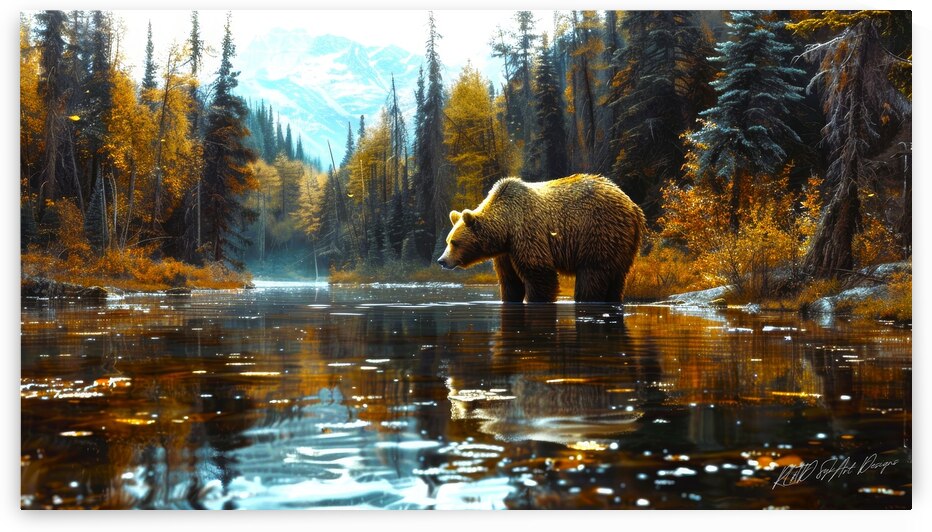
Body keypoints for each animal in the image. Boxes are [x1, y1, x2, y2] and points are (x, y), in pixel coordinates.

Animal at [437, 174, 646, 303]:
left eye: (455, 242)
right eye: (448, 241)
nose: (442, 260)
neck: (505, 227)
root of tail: (633, 206)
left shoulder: (527, 233)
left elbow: (539, 273)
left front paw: (536, 298)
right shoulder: (507, 252)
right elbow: (510, 281)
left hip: (598, 231)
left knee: (592, 273)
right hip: (623, 243)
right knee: (617, 278)